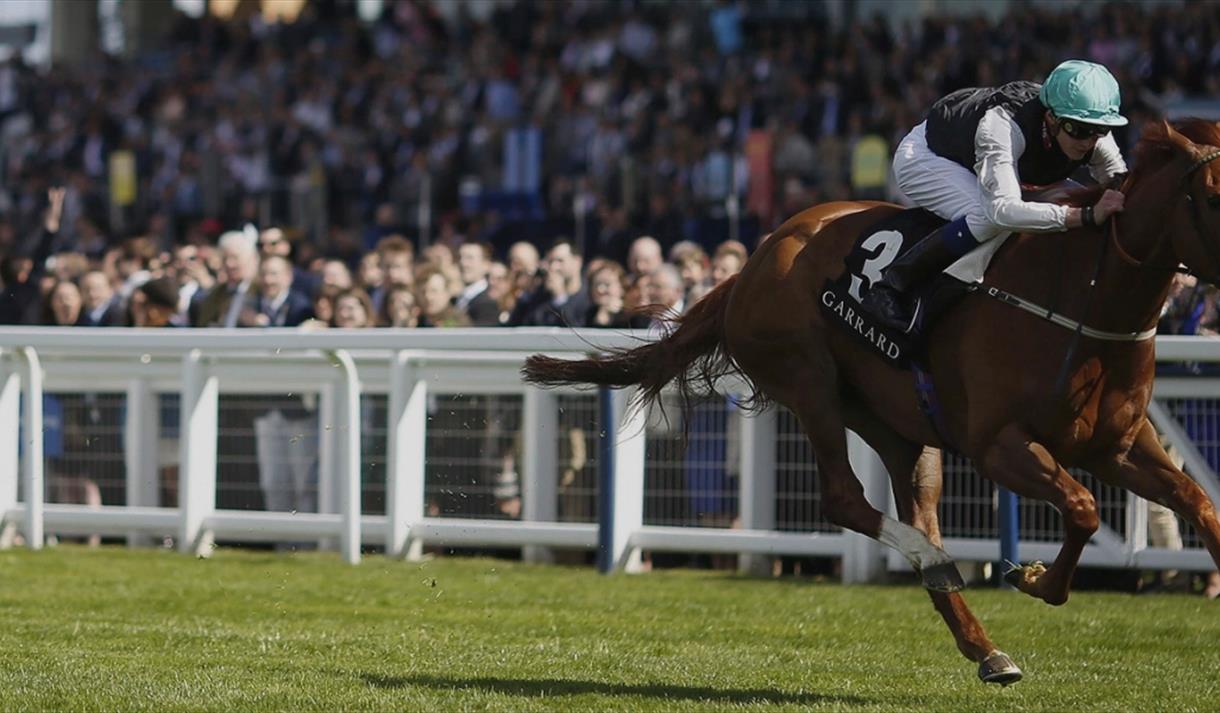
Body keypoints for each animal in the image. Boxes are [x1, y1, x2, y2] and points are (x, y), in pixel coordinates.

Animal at [522, 119, 1220, 683]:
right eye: (1212, 194)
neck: (1083, 298)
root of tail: (756, 260)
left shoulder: (1118, 447)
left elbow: (1197, 503)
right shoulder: (999, 446)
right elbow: (1082, 509)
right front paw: (1034, 578)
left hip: (901, 429)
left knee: (916, 513)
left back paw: (982, 642)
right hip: (809, 382)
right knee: (846, 498)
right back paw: (936, 562)